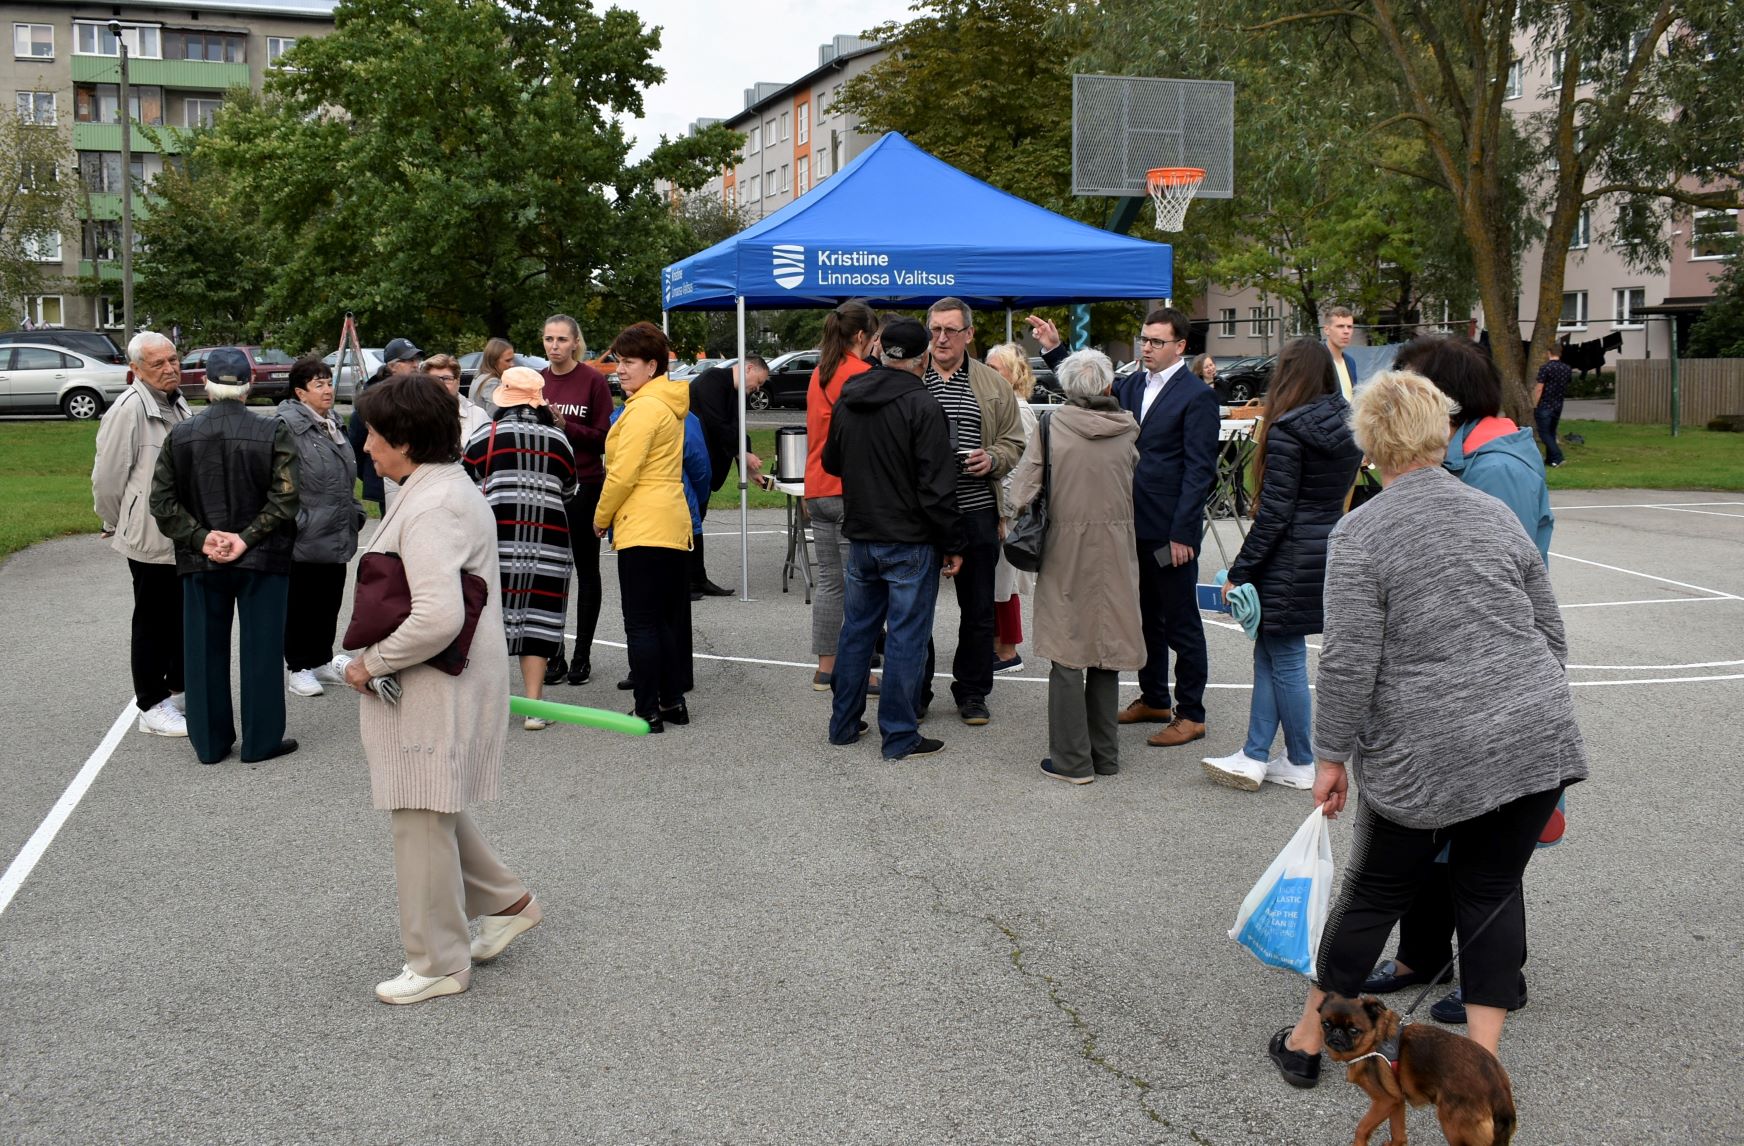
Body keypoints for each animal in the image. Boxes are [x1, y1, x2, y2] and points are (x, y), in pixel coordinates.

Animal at [1318, 990, 1513, 1137]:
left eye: (1353, 1030)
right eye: (1326, 1024)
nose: (1336, 1032)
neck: (1375, 1041)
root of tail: (1498, 1085)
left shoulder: (1385, 1101)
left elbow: (1362, 1128)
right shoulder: (1397, 1099)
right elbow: (1398, 1133)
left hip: (1455, 1125)